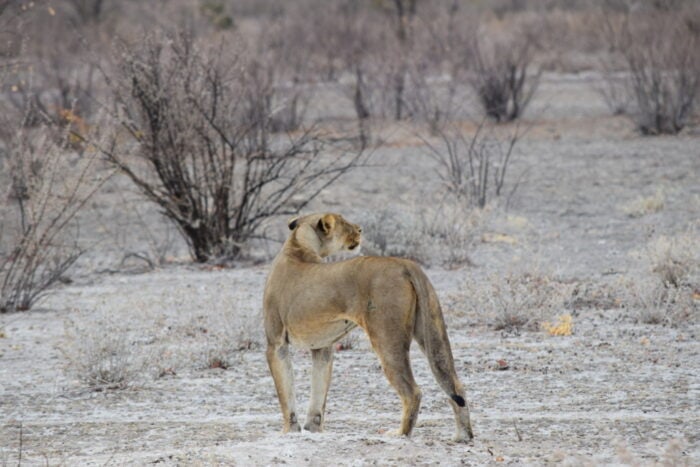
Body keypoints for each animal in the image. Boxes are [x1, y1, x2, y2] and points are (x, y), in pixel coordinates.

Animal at [263, 212, 473, 441]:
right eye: (344, 223)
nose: (360, 229)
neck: (298, 245)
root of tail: (405, 263)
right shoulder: (322, 347)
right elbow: (317, 393)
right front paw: (312, 429)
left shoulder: (276, 344)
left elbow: (285, 391)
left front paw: (289, 430)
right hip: (432, 331)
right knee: (454, 384)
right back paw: (463, 436)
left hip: (386, 338)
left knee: (413, 391)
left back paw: (399, 434)